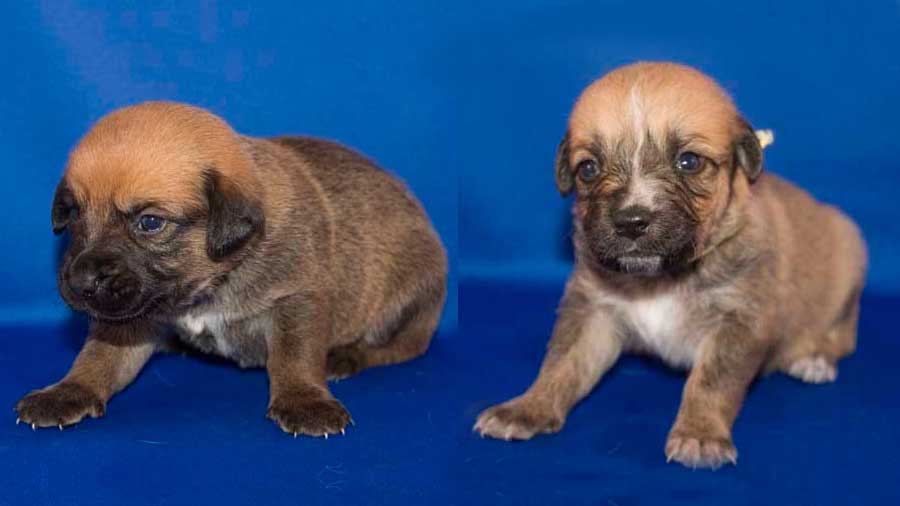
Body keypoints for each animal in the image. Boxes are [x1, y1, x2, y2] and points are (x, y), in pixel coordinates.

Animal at [15, 101, 448, 436]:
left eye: (150, 223)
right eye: (73, 214)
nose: (80, 281)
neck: (206, 284)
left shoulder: (298, 299)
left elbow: (296, 355)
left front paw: (304, 398)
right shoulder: (129, 319)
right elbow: (98, 358)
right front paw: (68, 391)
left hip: (409, 299)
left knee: (398, 348)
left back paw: (345, 357)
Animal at [474, 63, 868, 470]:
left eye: (689, 162)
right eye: (588, 169)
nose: (631, 222)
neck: (661, 277)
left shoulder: (739, 322)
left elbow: (710, 382)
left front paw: (700, 434)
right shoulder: (591, 311)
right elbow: (560, 363)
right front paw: (527, 407)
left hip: (849, 260)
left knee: (843, 334)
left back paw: (814, 359)